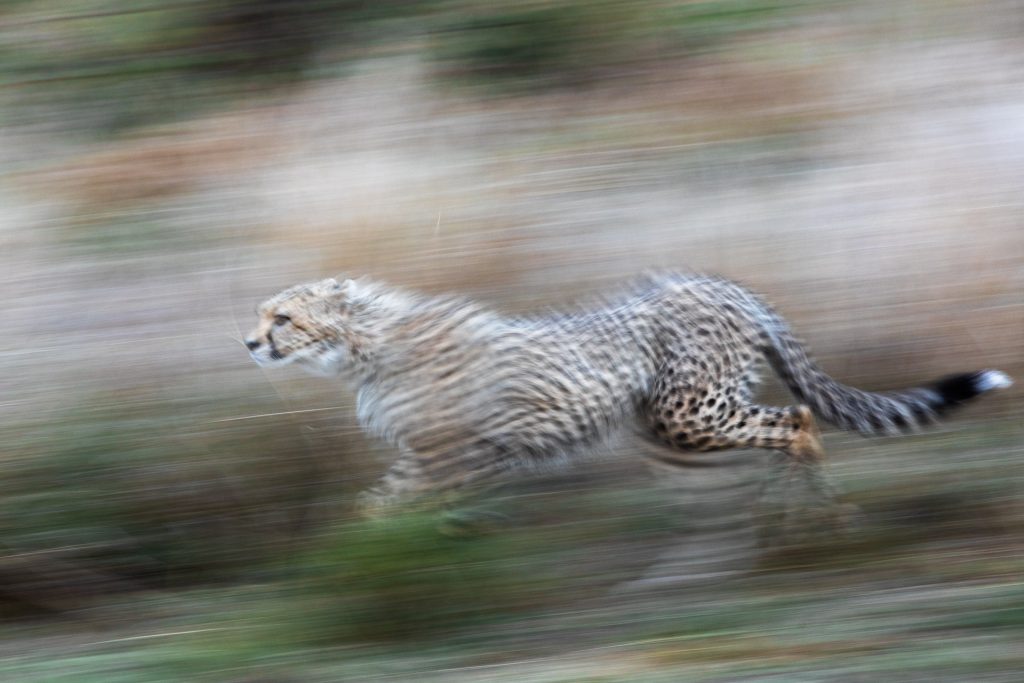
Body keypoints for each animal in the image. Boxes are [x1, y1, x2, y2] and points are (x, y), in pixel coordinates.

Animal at [245, 273, 1012, 521]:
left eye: (282, 317)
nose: (250, 343)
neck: (365, 347)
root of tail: (718, 283)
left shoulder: (443, 454)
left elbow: (378, 509)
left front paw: (364, 557)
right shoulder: (463, 458)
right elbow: (409, 510)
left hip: (692, 410)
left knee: (794, 418)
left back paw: (808, 514)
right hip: (673, 431)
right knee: (762, 443)